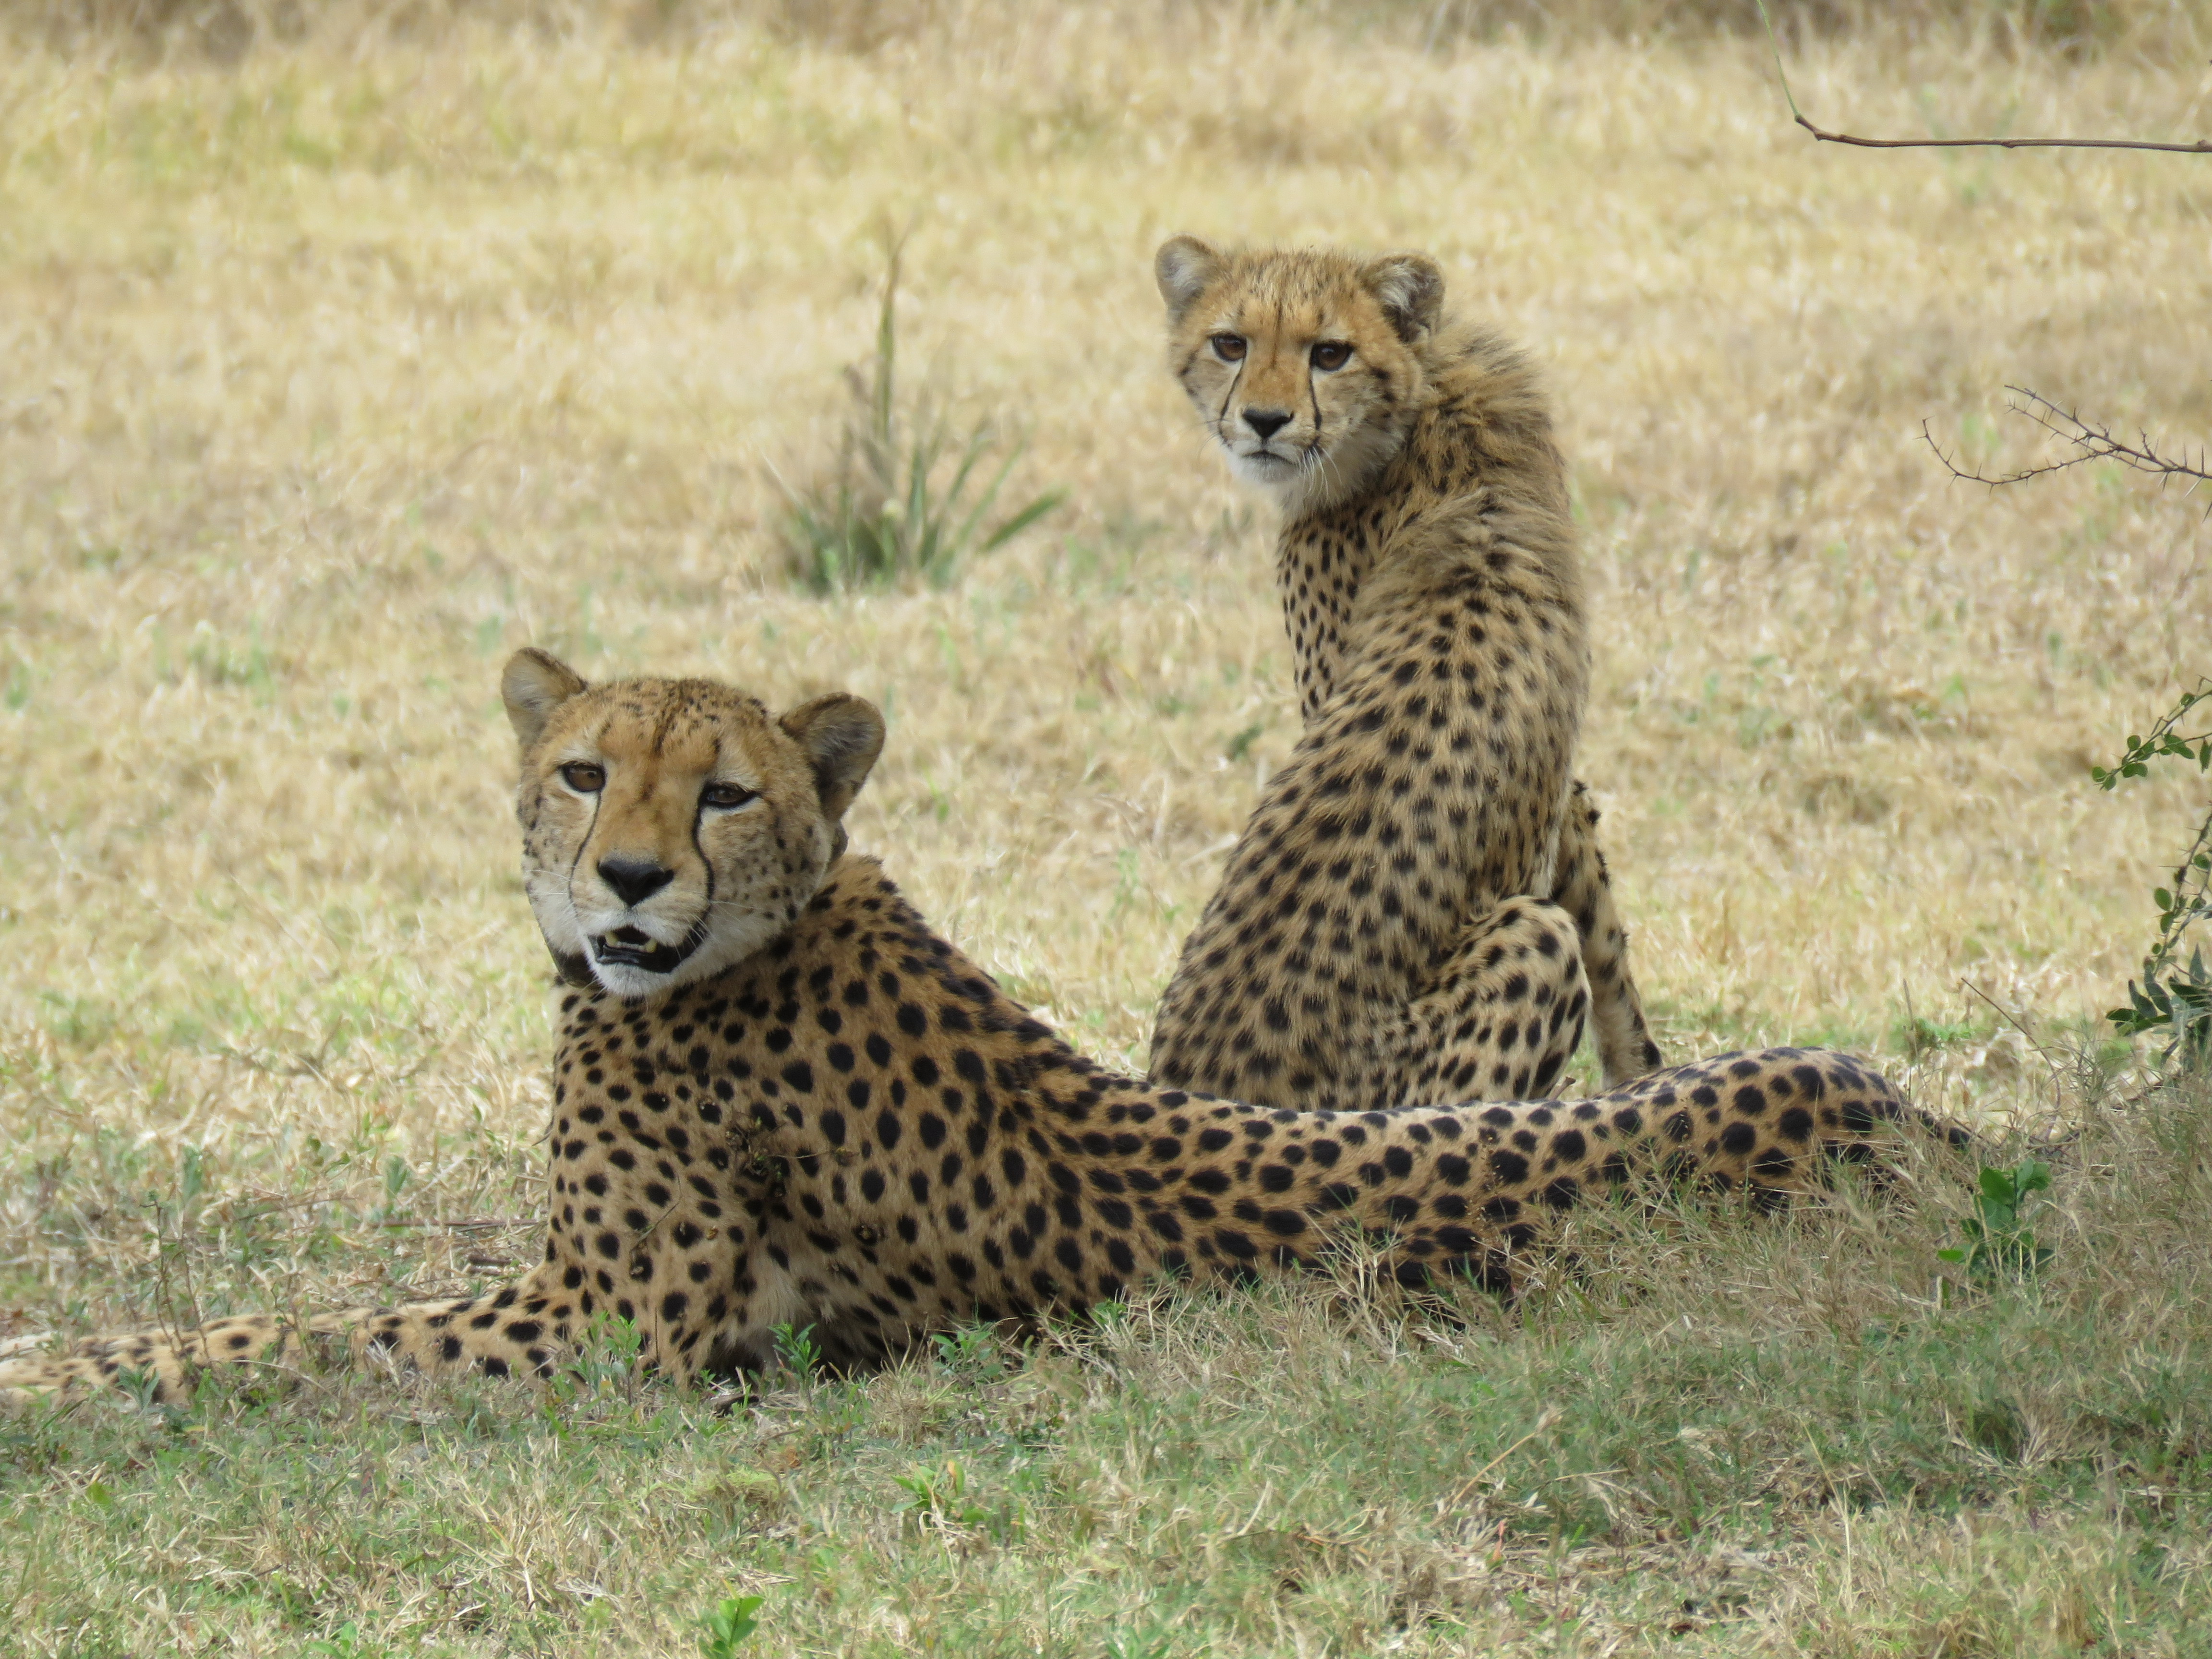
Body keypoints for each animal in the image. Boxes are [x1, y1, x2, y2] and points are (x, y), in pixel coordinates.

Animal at [0, 651, 1959, 1405]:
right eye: (580, 771)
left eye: (720, 791)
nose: (625, 879)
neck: (773, 927)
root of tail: (1909, 1110)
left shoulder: (605, 1331)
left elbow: (287, 1337)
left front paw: (55, 1374)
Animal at [1146, 236, 1664, 1116]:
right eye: (1230, 343)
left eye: (1330, 353)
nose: (1262, 422)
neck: (1423, 407)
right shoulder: (1562, 790)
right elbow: (1606, 931)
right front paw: (1641, 1086)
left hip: (1523, 944)